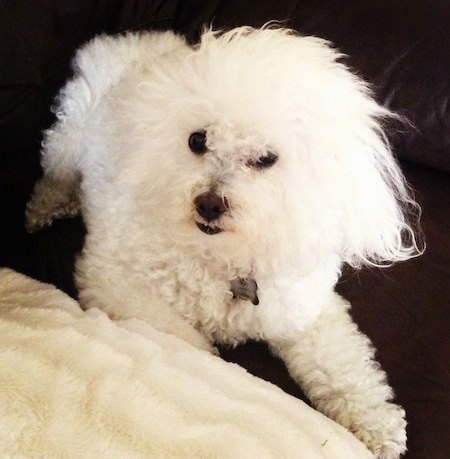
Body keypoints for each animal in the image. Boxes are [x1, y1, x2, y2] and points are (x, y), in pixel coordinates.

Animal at [27, 27, 422, 458]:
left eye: (265, 158)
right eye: (198, 140)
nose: (209, 203)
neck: (226, 259)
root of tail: (134, 40)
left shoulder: (305, 310)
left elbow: (344, 365)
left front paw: (376, 423)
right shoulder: (115, 282)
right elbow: (181, 342)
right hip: (69, 138)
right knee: (55, 172)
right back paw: (45, 207)